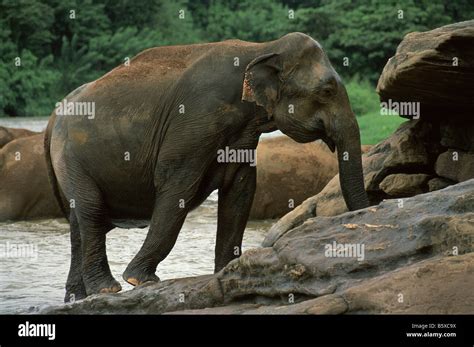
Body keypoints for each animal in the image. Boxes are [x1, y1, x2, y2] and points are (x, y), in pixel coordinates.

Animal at [45, 32, 370, 302]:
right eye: (327, 90)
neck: (262, 48)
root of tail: (53, 116)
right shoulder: (194, 121)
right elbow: (178, 186)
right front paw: (140, 280)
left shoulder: (242, 138)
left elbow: (241, 191)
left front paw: (228, 273)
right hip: (71, 158)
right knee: (91, 212)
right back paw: (106, 289)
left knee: (79, 223)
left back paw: (77, 297)